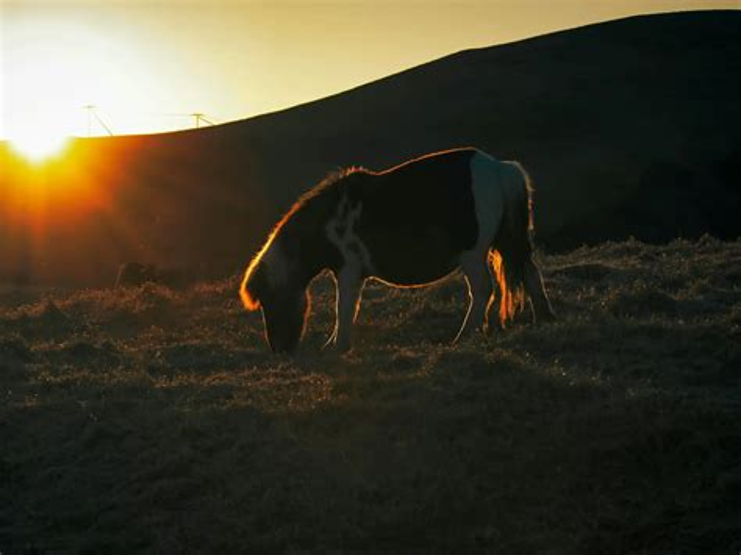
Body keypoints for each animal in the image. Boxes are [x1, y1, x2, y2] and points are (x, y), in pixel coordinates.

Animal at [240, 147, 555, 353]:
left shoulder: (349, 270)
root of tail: (501, 169)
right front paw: (334, 344)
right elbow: (346, 308)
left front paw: (337, 346)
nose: (279, 349)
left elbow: (344, 307)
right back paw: (544, 319)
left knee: (482, 291)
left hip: (473, 255)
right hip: (507, 241)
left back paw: (462, 337)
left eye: (269, 302)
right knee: (530, 274)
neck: (330, 221)